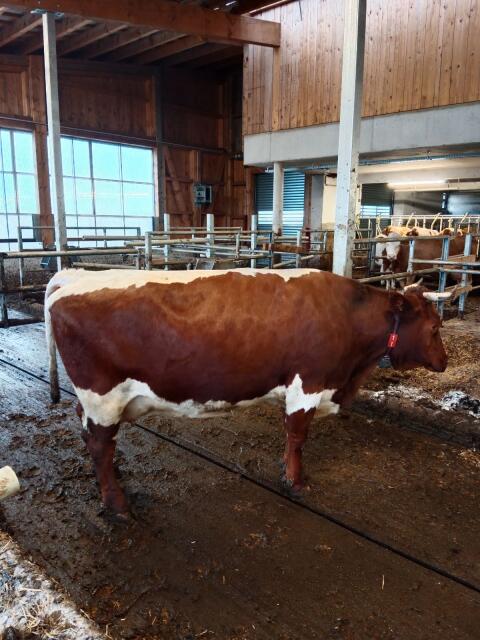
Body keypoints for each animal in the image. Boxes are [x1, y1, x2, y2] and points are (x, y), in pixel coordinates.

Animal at [45, 268, 448, 517]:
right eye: (434, 327)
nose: (444, 362)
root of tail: (75, 275)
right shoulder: (308, 384)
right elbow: (297, 436)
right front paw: (296, 481)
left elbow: (290, 435)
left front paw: (287, 471)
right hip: (101, 396)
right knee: (100, 444)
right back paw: (117, 503)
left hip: (97, 402)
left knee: (91, 434)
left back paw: (114, 475)